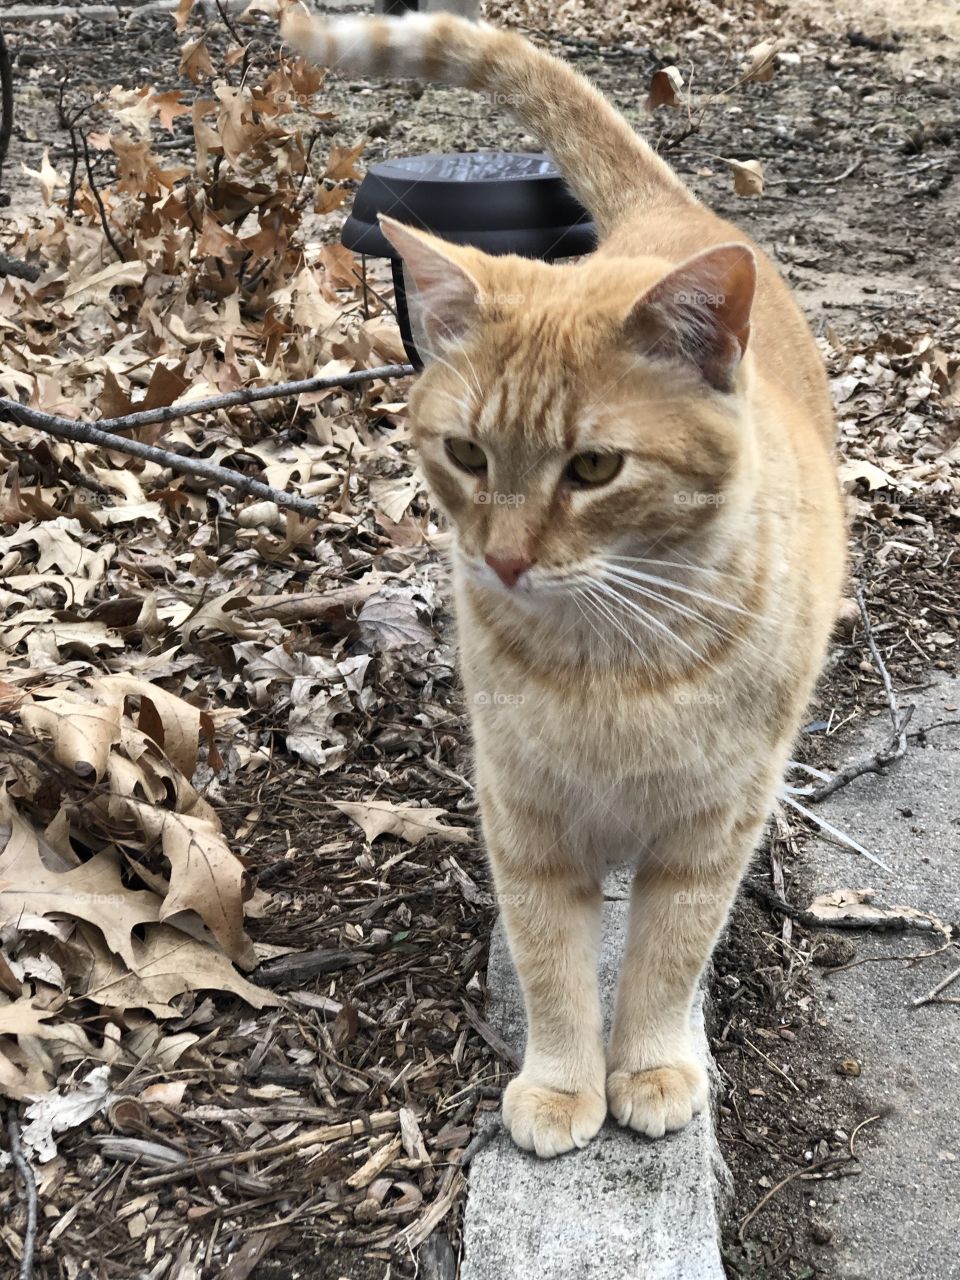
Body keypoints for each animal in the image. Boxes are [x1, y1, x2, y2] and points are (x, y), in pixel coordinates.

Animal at [289, 5, 844, 1157]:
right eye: (465, 453)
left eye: (592, 468)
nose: (503, 557)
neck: (612, 657)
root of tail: (668, 214)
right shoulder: (526, 818)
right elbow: (550, 964)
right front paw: (560, 1082)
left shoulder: (711, 829)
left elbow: (668, 958)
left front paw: (653, 1066)